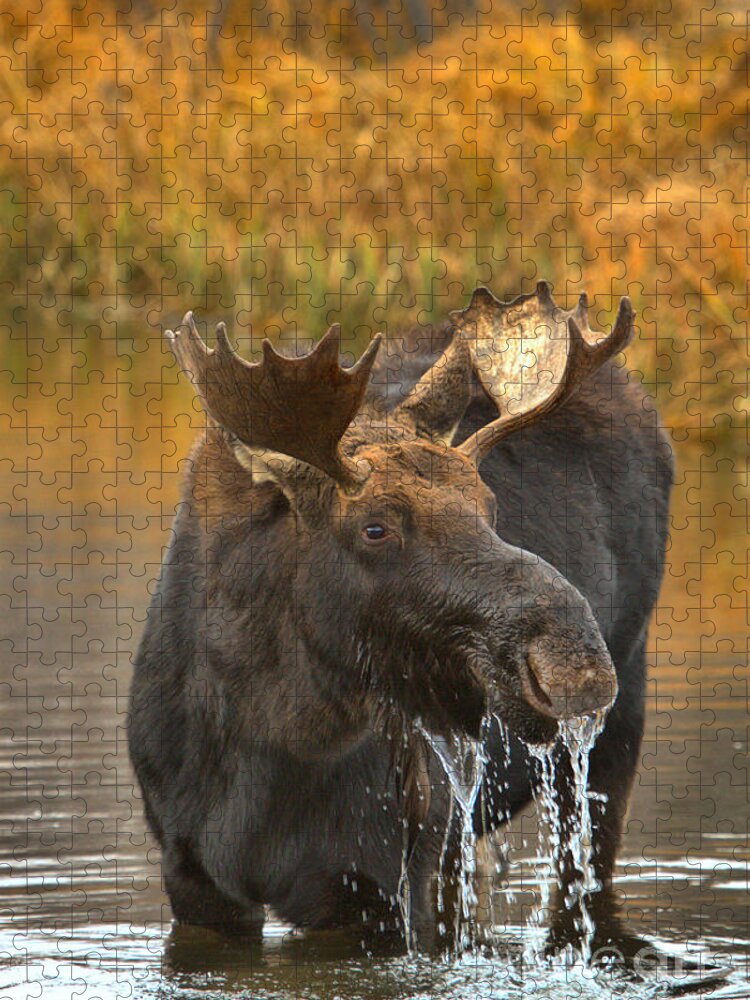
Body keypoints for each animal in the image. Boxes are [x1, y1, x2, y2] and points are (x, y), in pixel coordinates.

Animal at [131, 282, 676, 952]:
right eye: (375, 527)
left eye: (489, 505)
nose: (573, 661)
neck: (275, 735)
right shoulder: (194, 877)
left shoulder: (378, 882)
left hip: (616, 729)